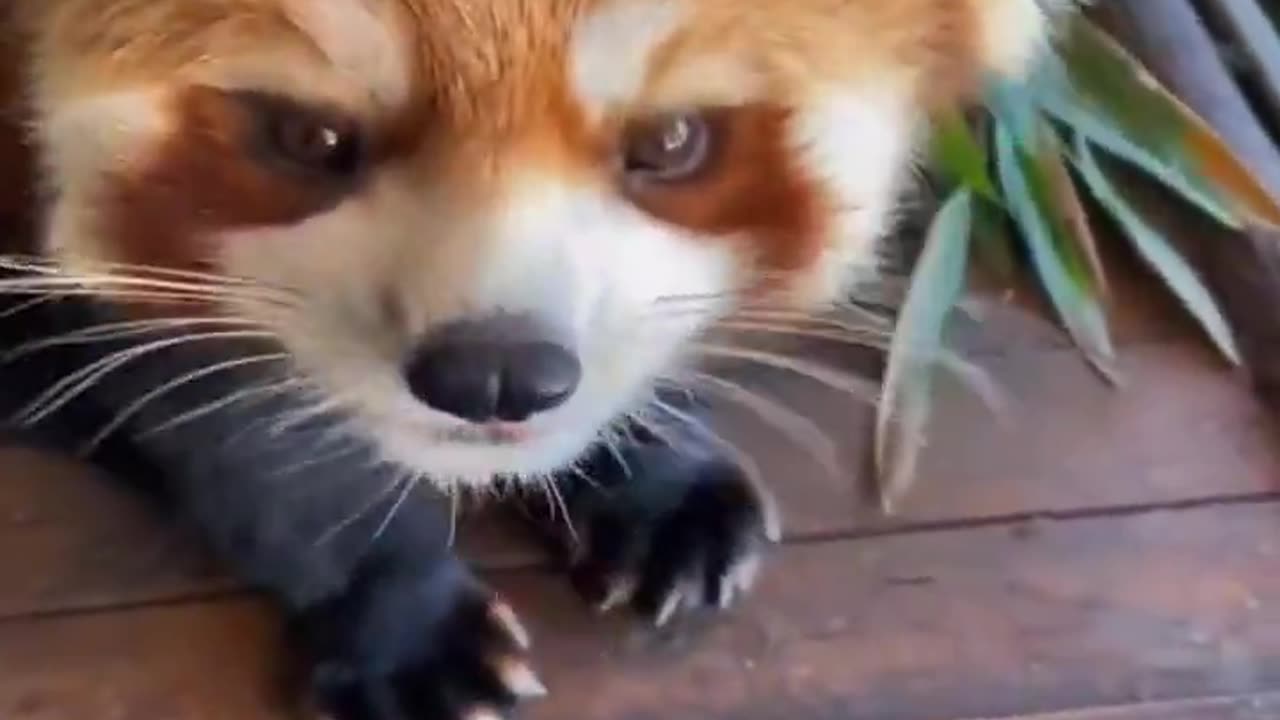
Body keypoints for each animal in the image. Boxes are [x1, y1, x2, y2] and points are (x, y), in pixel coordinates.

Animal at [0, 1, 1054, 718]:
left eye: (673, 141)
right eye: (311, 136)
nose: (496, 375)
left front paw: (660, 475)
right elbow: (233, 422)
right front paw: (397, 606)